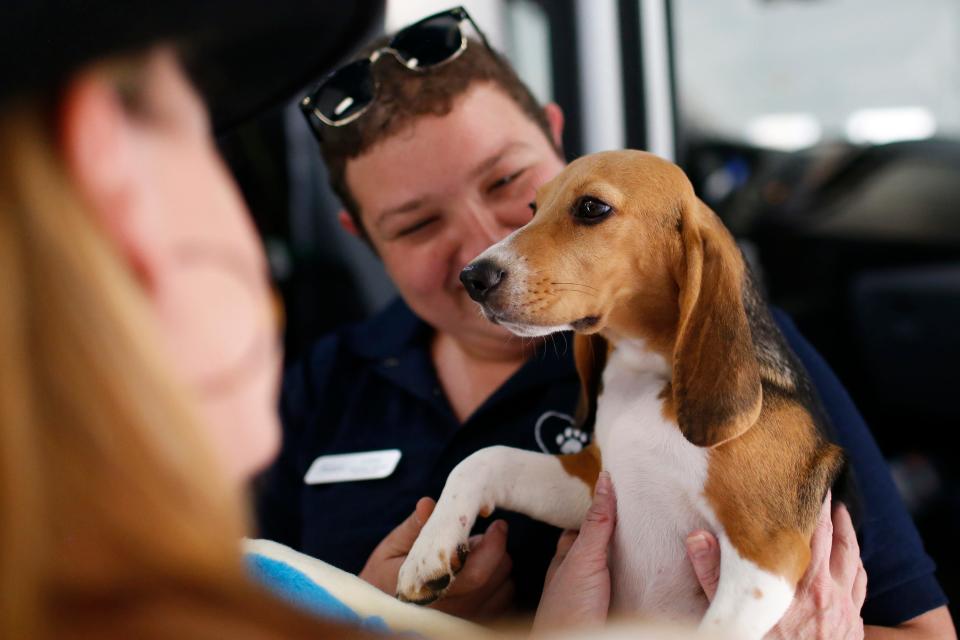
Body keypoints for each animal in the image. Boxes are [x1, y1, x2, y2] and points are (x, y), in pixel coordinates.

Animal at [394, 151, 844, 640]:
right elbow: (483, 458)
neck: (646, 374)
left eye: (592, 208)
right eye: (533, 207)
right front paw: (427, 550)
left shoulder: (767, 552)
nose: (472, 277)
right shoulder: (595, 483)